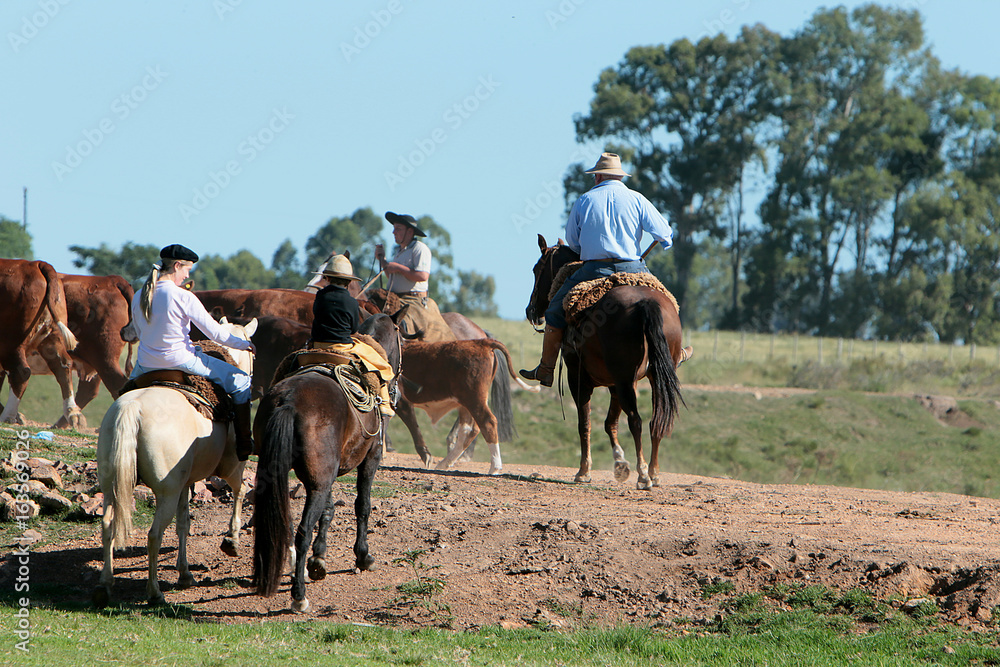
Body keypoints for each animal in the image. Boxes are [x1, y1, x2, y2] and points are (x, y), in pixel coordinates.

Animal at [0, 260, 83, 428]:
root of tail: (36, 264)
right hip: (52, 337)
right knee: (63, 365)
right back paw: (73, 413)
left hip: (12, 341)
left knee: (21, 372)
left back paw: (7, 417)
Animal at [94, 318, 258, 604]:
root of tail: (131, 409)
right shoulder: (231, 467)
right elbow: (239, 492)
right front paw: (232, 541)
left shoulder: (185, 483)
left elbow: (184, 523)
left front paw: (185, 573)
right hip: (166, 493)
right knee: (153, 535)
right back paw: (154, 591)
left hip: (111, 488)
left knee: (108, 527)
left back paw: (106, 583)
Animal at [254, 310, 406, 612]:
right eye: (401, 337)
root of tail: (288, 400)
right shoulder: (371, 459)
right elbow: (363, 506)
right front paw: (363, 556)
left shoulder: (325, 474)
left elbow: (328, 510)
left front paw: (319, 560)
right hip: (322, 479)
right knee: (302, 532)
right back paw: (299, 596)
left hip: (289, 476)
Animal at [528, 235, 684, 490]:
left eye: (536, 269)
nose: (530, 310)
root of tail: (645, 303)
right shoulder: (615, 385)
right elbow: (610, 423)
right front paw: (620, 464)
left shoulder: (578, 378)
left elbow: (585, 423)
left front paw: (584, 471)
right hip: (650, 378)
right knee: (655, 422)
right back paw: (654, 472)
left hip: (623, 380)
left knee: (636, 421)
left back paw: (643, 475)